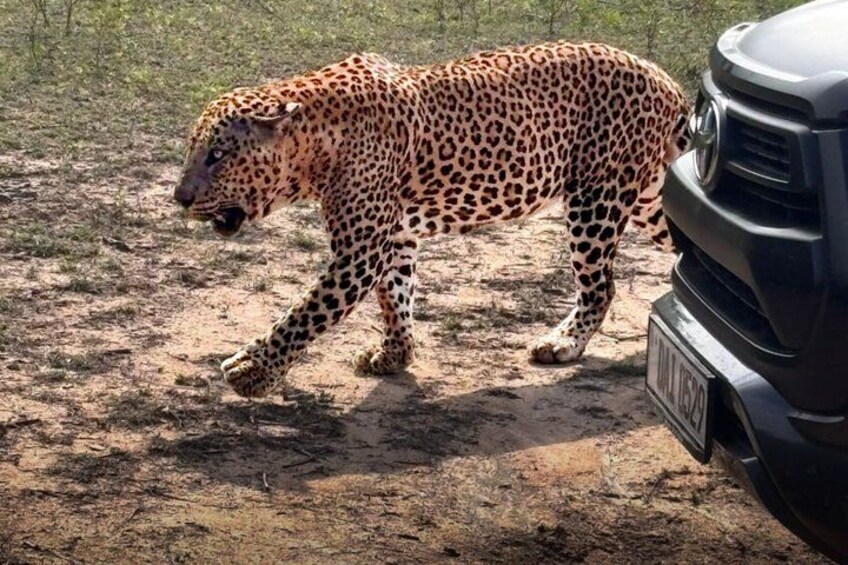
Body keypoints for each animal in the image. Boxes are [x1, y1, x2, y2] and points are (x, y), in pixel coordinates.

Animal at [173, 41, 692, 398]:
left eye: (217, 155)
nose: (179, 197)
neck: (315, 142)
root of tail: (668, 81)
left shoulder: (360, 251)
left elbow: (305, 312)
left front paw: (252, 371)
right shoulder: (394, 238)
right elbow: (396, 297)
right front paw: (395, 354)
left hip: (596, 201)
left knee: (601, 286)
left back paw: (562, 343)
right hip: (647, 198)